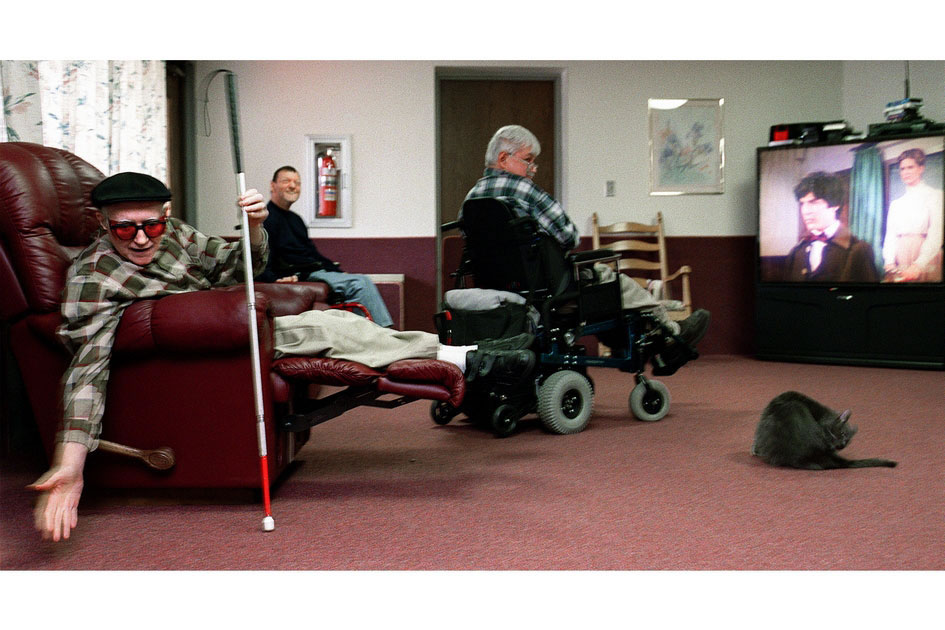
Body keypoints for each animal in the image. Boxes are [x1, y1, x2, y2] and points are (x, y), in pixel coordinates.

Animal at [748, 392, 896, 472]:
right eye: (843, 435)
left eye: (847, 442)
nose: (841, 445)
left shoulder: (765, 415)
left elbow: (756, 438)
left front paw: (755, 450)